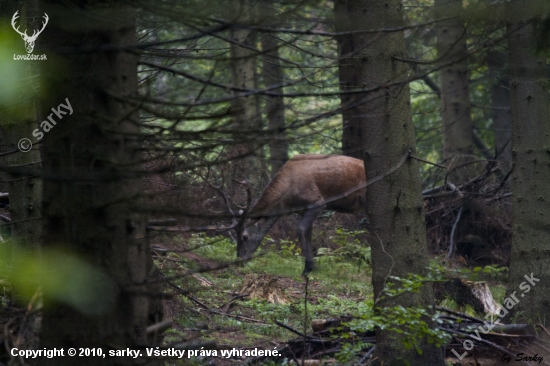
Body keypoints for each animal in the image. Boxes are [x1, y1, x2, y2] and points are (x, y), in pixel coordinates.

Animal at [229, 153, 370, 276]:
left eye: (245, 237)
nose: (239, 261)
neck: (287, 200)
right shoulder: (303, 210)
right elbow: (308, 234)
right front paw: (310, 266)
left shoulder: (317, 203)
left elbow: (300, 229)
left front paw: (307, 268)